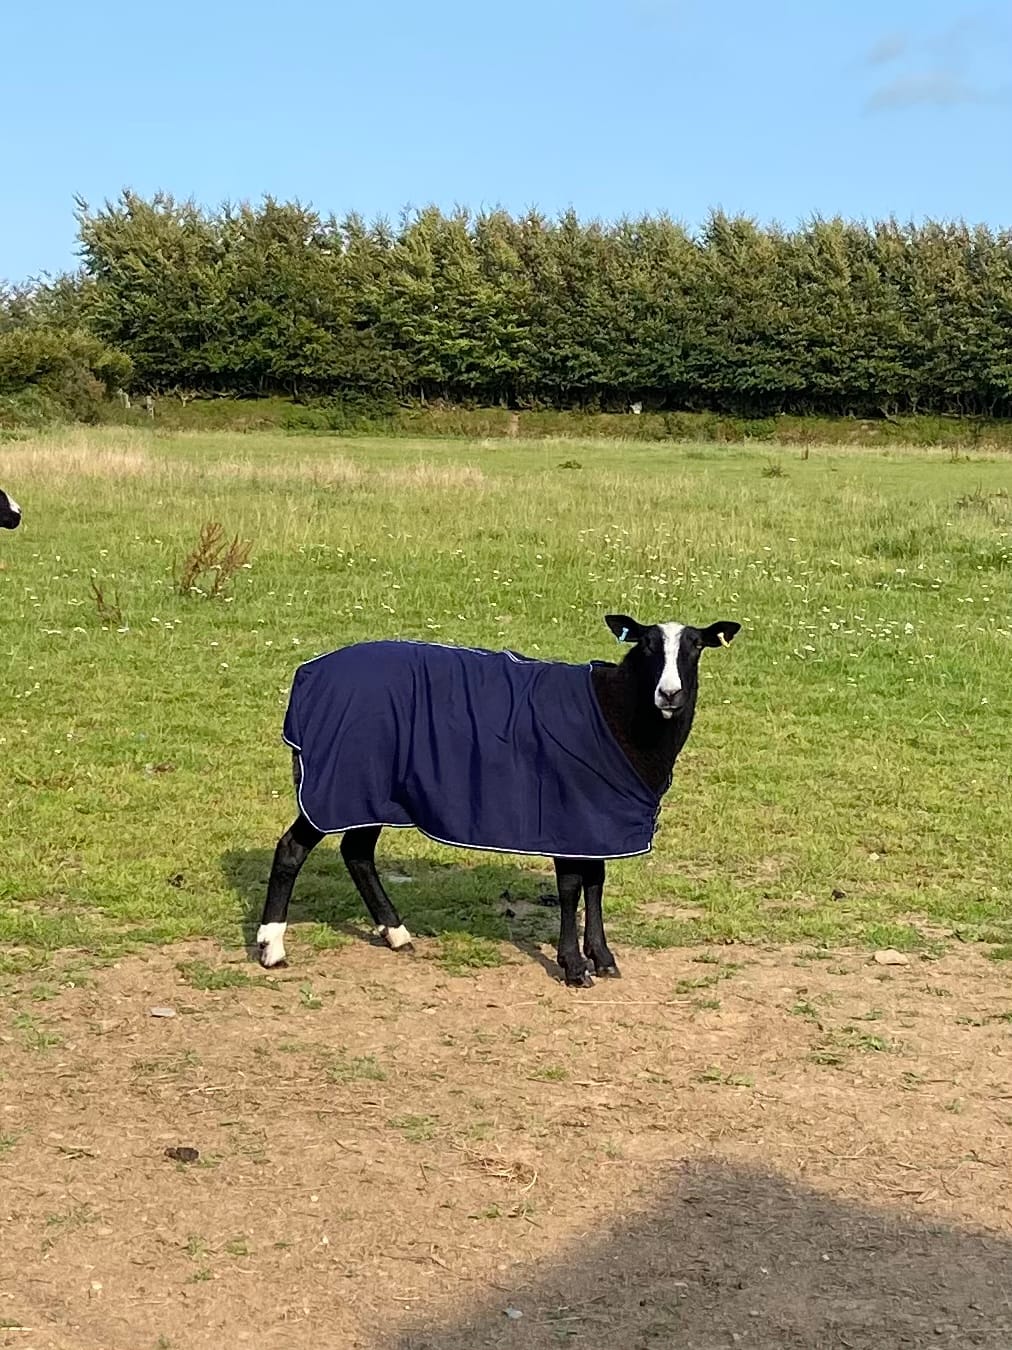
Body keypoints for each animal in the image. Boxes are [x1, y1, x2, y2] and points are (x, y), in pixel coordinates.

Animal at [257, 613, 740, 986]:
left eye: (696, 647)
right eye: (647, 646)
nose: (670, 694)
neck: (617, 712)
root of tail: (308, 675)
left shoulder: (596, 820)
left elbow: (596, 883)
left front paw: (603, 958)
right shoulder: (566, 813)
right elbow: (571, 888)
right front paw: (573, 966)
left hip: (367, 787)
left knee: (356, 852)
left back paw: (396, 934)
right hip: (334, 782)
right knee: (292, 849)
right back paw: (271, 947)